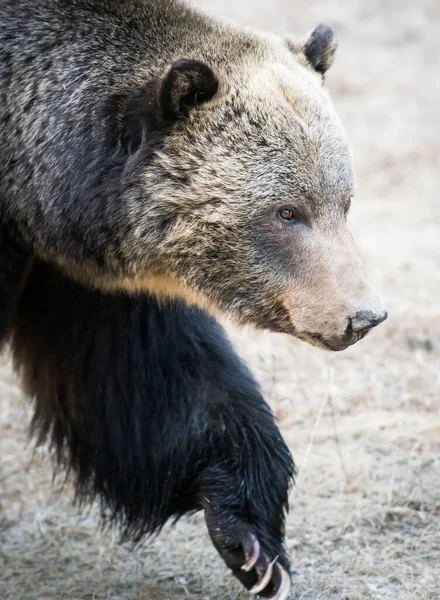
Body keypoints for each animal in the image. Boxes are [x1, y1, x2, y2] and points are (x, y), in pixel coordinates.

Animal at [0, 2, 384, 596]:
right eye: (286, 212)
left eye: (343, 201)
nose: (363, 314)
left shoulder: (83, 276)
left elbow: (159, 385)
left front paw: (252, 541)